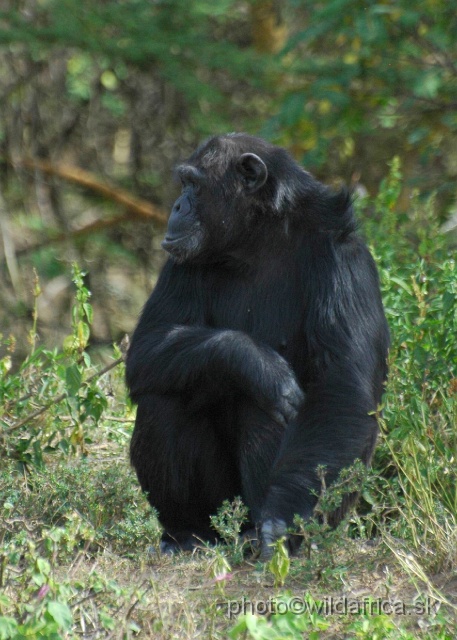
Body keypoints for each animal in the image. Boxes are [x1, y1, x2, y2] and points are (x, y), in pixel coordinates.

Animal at [125, 132, 388, 556]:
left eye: (193, 184)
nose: (178, 205)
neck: (259, 239)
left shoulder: (343, 261)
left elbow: (341, 386)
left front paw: (282, 520)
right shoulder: (181, 261)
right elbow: (149, 343)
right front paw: (256, 362)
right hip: (222, 509)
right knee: (163, 397)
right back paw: (187, 534)